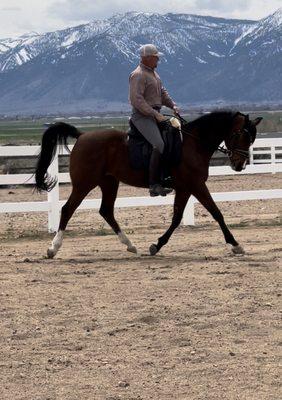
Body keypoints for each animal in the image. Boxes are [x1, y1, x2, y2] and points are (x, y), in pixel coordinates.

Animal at [34, 111, 262, 258]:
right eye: (240, 134)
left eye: (252, 139)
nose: (239, 165)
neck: (193, 144)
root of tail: (82, 136)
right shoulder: (196, 185)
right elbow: (216, 213)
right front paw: (236, 245)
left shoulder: (185, 188)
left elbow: (177, 218)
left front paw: (156, 245)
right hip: (84, 183)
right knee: (67, 209)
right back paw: (53, 248)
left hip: (109, 182)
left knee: (106, 211)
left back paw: (131, 246)